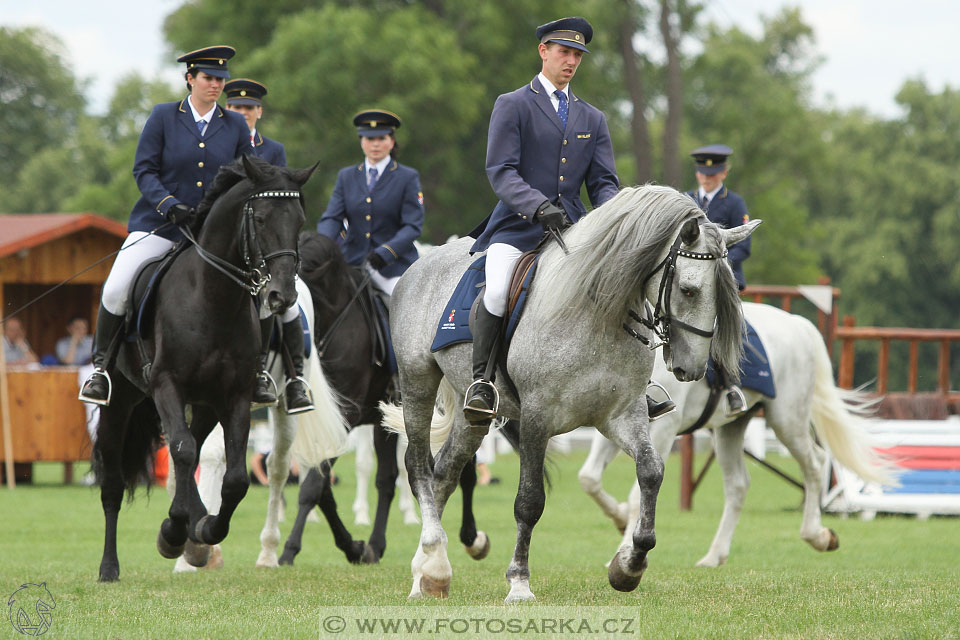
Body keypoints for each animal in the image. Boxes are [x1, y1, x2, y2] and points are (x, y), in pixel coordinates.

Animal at [93, 155, 314, 580]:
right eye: (261, 219)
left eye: (299, 221)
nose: (282, 296)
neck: (213, 297)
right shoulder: (167, 386)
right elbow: (180, 452)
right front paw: (174, 531)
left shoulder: (235, 396)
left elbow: (235, 478)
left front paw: (204, 529)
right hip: (120, 402)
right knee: (114, 484)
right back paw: (110, 566)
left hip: (206, 405)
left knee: (195, 451)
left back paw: (194, 536)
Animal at [274, 234, 492, 564]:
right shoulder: (337, 422)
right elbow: (323, 488)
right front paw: (354, 547)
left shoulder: (347, 416)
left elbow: (313, 485)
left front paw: (289, 550)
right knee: (388, 479)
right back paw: (377, 545)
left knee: (463, 469)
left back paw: (471, 538)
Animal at [382, 184, 756, 600]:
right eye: (689, 291)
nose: (693, 369)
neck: (598, 314)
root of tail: (421, 263)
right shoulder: (536, 419)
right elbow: (529, 501)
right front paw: (519, 582)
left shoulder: (623, 414)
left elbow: (651, 471)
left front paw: (629, 565)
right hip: (418, 381)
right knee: (418, 467)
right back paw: (431, 556)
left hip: (473, 414)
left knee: (445, 473)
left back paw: (430, 571)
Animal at [576, 300, 900, 564]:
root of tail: (797, 324)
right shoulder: (617, 422)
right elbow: (589, 478)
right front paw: (619, 519)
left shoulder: (664, 429)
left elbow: (636, 492)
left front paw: (626, 552)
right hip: (731, 428)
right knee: (738, 485)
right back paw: (715, 556)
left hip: (786, 419)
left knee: (815, 463)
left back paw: (817, 536)